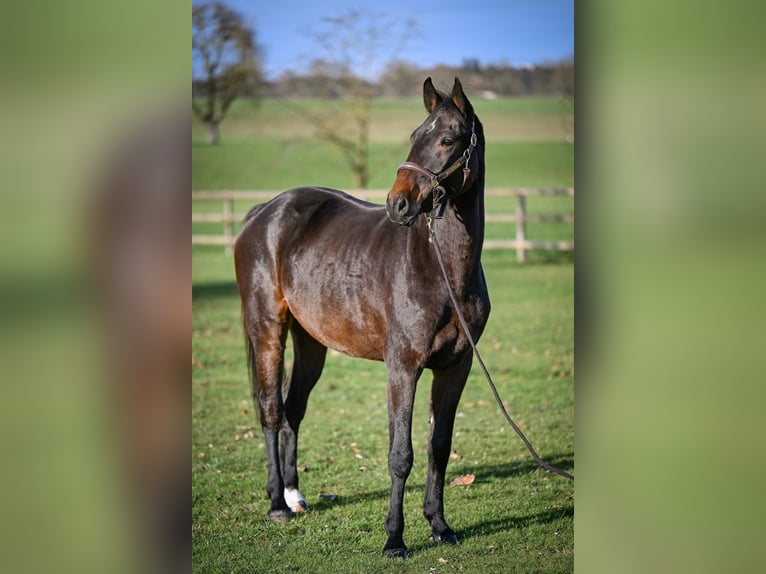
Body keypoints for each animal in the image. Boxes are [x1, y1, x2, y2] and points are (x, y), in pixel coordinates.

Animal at [234, 77, 489, 558]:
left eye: (447, 140)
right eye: (415, 135)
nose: (398, 204)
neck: (443, 269)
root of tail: (264, 212)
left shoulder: (456, 367)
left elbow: (439, 448)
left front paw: (440, 526)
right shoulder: (403, 368)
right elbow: (400, 455)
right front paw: (394, 539)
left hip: (311, 342)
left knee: (293, 409)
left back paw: (295, 497)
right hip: (267, 329)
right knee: (271, 410)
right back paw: (277, 504)